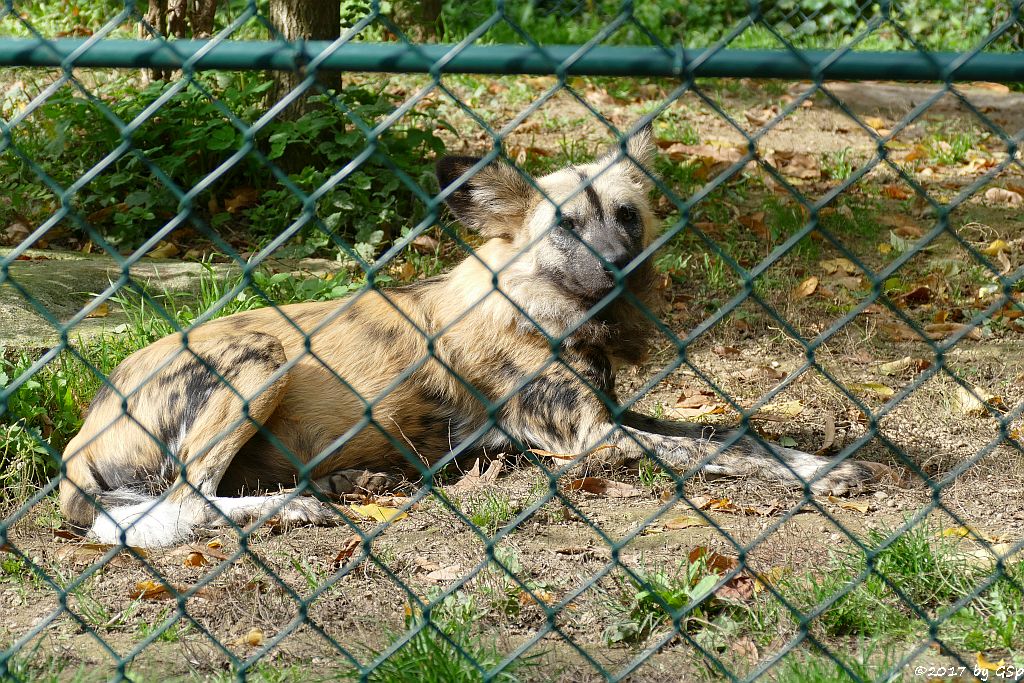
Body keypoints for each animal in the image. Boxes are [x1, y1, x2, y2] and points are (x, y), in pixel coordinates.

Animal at [59, 125, 888, 548]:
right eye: (566, 227)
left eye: (626, 215)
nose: (618, 267)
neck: (545, 309)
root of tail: (81, 431)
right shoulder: (594, 439)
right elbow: (726, 455)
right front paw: (821, 476)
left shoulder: (618, 415)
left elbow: (740, 437)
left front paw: (829, 463)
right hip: (257, 359)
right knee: (181, 507)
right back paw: (300, 507)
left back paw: (341, 486)